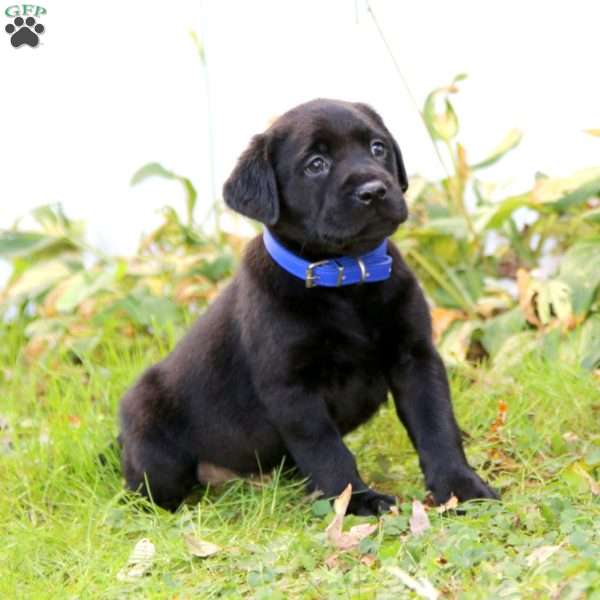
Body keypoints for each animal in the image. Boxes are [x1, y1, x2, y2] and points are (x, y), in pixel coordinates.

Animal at [118, 99, 496, 516]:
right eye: (316, 164)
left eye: (377, 148)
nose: (374, 190)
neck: (348, 278)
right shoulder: (292, 389)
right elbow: (327, 451)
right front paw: (357, 502)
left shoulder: (416, 358)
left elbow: (436, 426)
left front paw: (461, 487)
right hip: (152, 441)